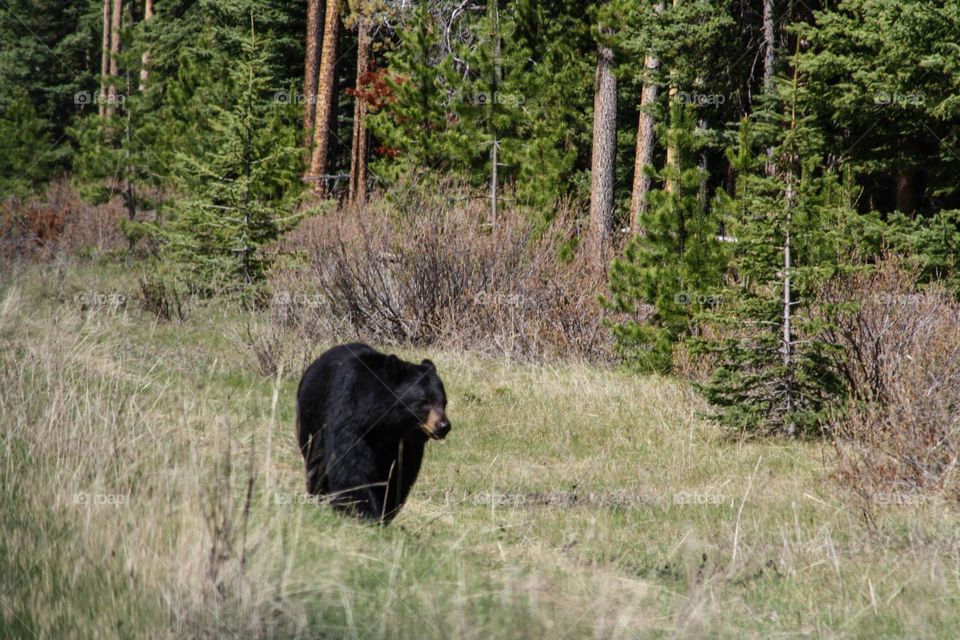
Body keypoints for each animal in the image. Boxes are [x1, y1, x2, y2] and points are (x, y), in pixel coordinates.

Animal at [294, 342, 452, 524]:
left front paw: (384, 511)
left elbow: (398, 474)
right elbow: (350, 464)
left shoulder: (405, 442)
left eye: (444, 402)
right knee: (316, 461)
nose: (444, 426)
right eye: (425, 402)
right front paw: (365, 512)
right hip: (311, 421)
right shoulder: (350, 415)